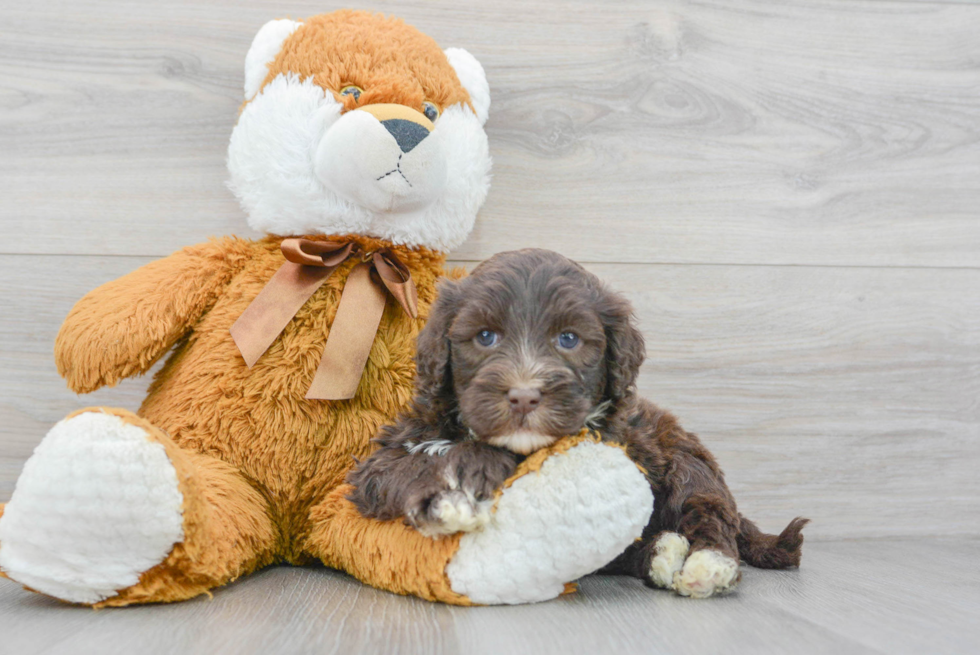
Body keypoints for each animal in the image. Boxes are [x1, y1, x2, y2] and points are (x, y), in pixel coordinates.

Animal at [348, 249, 808, 596]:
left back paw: (707, 564)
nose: (524, 396)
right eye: (485, 337)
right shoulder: (387, 454)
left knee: (707, 511)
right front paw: (451, 490)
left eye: (568, 339)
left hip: (689, 462)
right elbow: (405, 466)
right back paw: (661, 554)